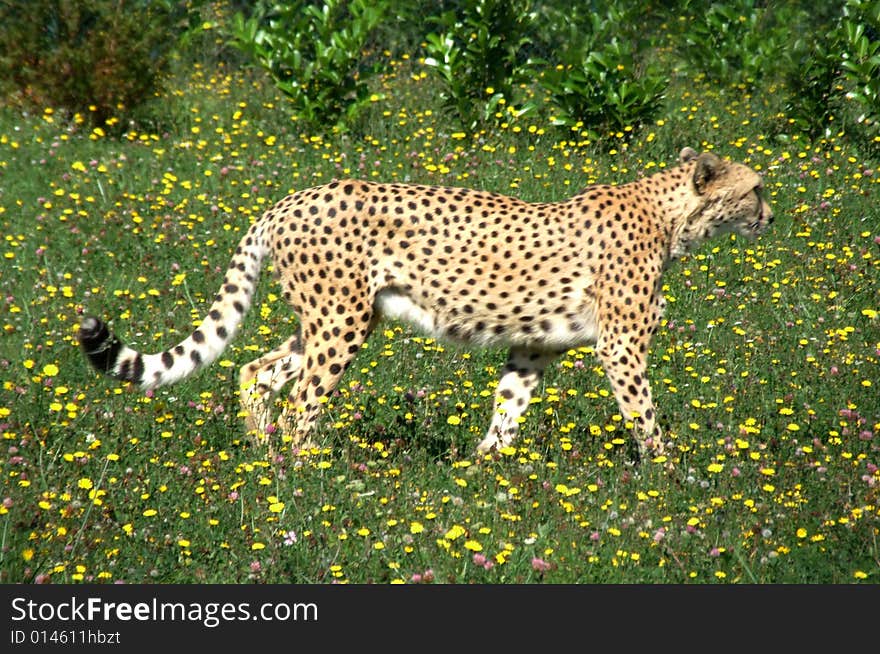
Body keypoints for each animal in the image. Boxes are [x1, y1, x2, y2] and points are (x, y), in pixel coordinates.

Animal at [79, 147, 772, 466]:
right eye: (757, 188)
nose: (771, 214)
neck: (672, 216)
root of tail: (288, 199)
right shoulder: (621, 346)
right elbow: (645, 417)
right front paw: (670, 482)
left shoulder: (532, 346)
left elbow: (507, 410)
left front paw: (482, 475)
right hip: (341, 321)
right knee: (303, 397)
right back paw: (306, 475)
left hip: (339, 318)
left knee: (255, 371)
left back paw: (266, 458)